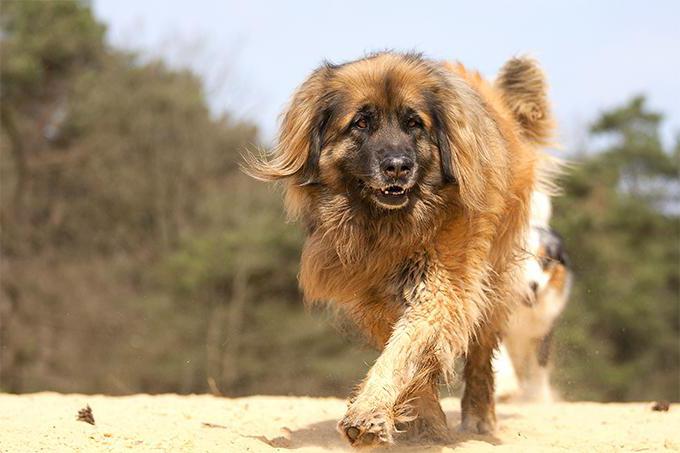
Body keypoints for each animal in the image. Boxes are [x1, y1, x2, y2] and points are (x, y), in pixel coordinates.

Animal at [247, 51, 556, 446]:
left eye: (414, 124)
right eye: (361, 123)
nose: (397, 167)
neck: (389, 228)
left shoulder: (441, 287)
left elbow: (404, 349)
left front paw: (368, 413)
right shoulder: (370, 298)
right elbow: (405, 354)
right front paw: (426, 421)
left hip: (495, 273)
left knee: (481, 352)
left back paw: (479, 416)